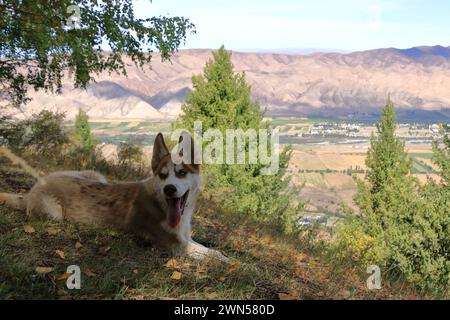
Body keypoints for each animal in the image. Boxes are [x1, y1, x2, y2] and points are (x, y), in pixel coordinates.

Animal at [0, 132, 229, 262]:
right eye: (163, 175)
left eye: (181, 173)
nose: (169, 189)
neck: (161, 203)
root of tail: (35, 186)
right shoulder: (175, 245)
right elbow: (213, 255)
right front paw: (233, 263)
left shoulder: (185, 238)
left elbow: (207, 248)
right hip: (54, 213)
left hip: (96, 175)